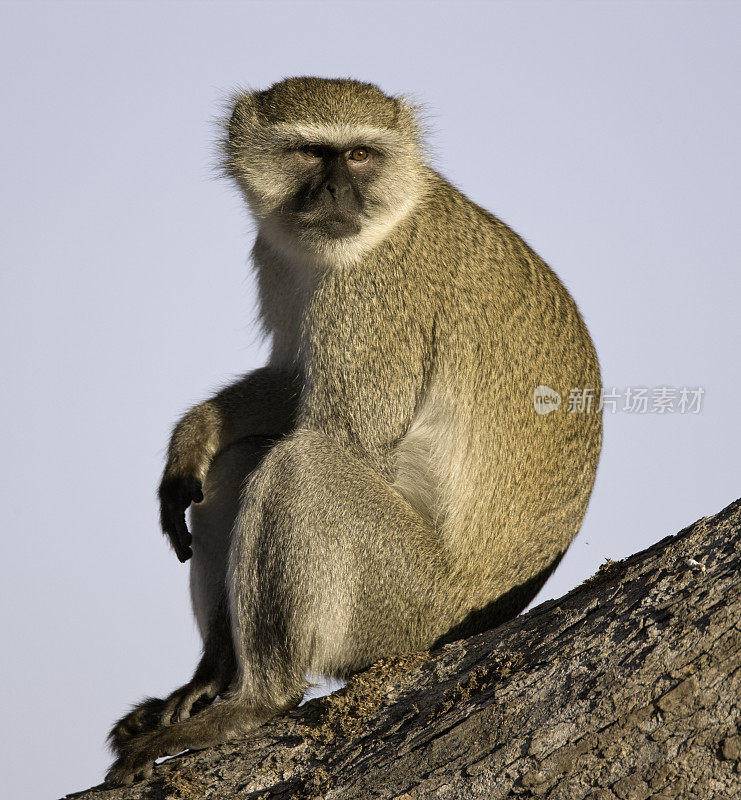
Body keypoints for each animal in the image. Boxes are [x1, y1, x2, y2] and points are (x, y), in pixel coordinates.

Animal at [105, 78, 600, 784]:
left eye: (361, 154)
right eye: (312, 153)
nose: (337, 192)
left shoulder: (379, 295)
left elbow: (343, 437)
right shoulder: (278, 257)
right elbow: (290, 384)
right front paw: (193, 433)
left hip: (402, 606)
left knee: (302, 465)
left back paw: (258, 699)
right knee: (241, 462)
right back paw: (215, 672)